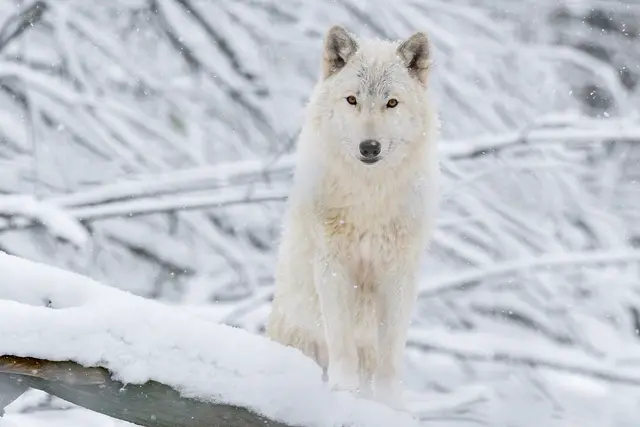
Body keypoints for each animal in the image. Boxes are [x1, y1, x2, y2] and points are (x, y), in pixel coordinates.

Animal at [266, 25, 439, 409]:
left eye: (391, 103)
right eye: (352, 100)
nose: (369, 147)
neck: (369, 199)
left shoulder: (398, 276)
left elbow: (390, 355)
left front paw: (391, 404)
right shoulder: (333, 268)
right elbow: (342, 344)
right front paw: (342, 392)